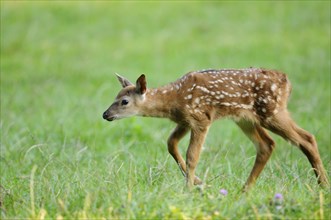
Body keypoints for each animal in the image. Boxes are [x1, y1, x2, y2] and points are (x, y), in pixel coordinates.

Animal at [103, 68, 330, 192]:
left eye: (124, 101)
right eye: (115, 96)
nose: (105, 114)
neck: (174, 101)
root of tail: (287, 83)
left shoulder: (201, 118)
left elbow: (192, 155)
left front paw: (188, 189)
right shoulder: (186, 120)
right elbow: (170, 144)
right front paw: (199, 182)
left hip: (272, 111)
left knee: (306, 138)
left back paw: (323, 185)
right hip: (245, 118)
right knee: (267, 145)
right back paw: (244, 190)